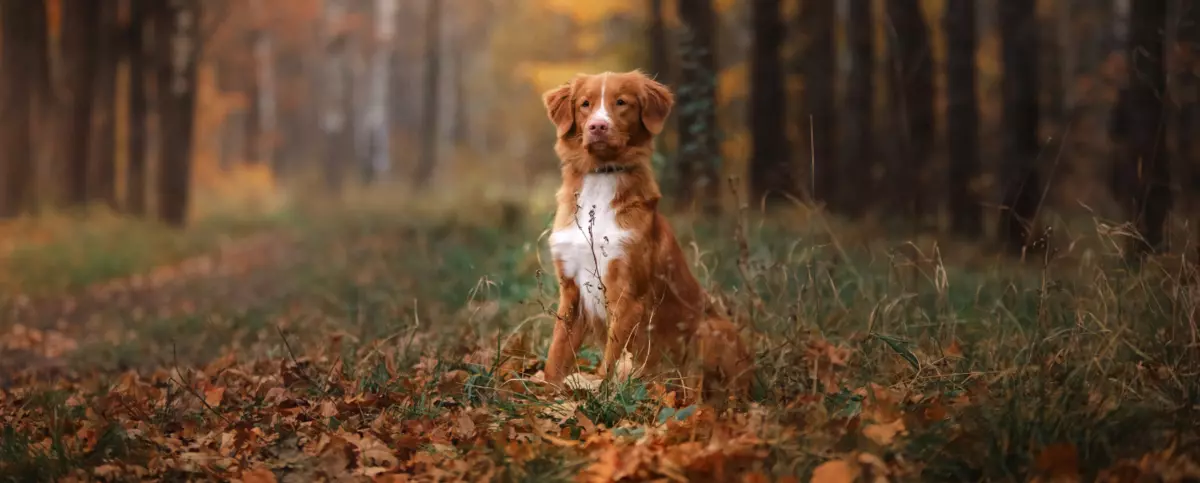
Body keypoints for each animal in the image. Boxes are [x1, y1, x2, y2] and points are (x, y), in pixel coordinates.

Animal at [542, 69, 748, 398]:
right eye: (585, 104)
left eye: (621, 102)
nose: (598, 126)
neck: (601, 178)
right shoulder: (571, 290)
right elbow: (557, 353)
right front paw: (543, 395)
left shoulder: (627, 294)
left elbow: (611, 358)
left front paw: (600, 394)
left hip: (710, 329)